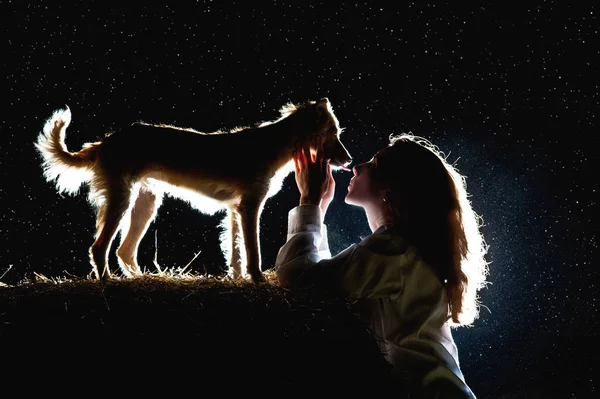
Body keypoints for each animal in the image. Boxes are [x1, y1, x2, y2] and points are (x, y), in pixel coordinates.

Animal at [36, 98, 352, 282]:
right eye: (333, 134)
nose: (349, 161)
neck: (274, 144)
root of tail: (106, 142)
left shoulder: (236, 210)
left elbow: (236, 253)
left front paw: (238, 279)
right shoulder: (250, 207)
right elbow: (253, 251)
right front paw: (258, 280)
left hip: (145, 204)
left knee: (124, 251)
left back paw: (143, 279)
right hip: (121, 201)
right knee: (99, 247)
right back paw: (107, 284)